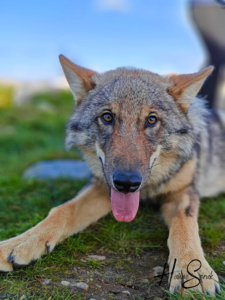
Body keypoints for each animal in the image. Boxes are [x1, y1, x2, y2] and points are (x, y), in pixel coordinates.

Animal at [0, 55, 223, 296]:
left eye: (151, 120)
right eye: (107, 117)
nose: (127, 183)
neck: (147, 191)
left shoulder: (184, 191)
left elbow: (185, 224)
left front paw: (192, 271)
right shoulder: (102, 188)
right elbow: (62, 210)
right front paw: (21, 242)